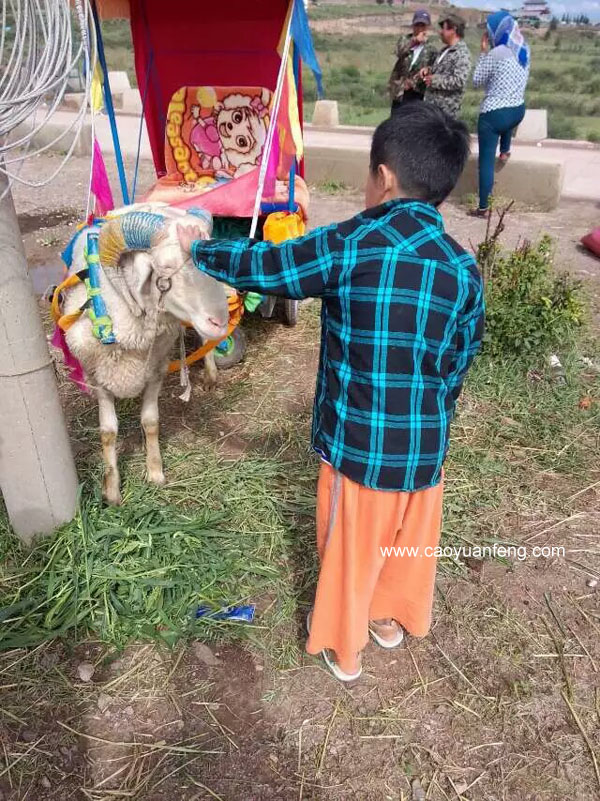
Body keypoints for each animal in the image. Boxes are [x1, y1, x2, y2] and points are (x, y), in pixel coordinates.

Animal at [62, 206, 229, 506]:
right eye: (165, 267)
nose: (220, 322)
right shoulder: (97, 377)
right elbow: (108, 432)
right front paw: (112, 491)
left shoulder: (156, 369)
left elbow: (151, 423)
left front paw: (155, 472)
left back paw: (210, 373)